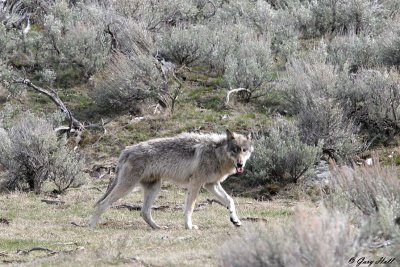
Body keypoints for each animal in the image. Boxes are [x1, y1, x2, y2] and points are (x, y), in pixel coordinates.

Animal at [90, 130, 253, 230]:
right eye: (235, 150)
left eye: (244, 150)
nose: (240, 164)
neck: (216, 153)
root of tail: (127, 150)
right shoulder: (196, 184)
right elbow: (189, 208)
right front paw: (189, 227)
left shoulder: (211, 184)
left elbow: (230, 200)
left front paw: (235, 220)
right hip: (127, 187)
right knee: (103, 203)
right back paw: (91, 225)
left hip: (154, 188)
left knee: (144, 212)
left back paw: (157, 228)